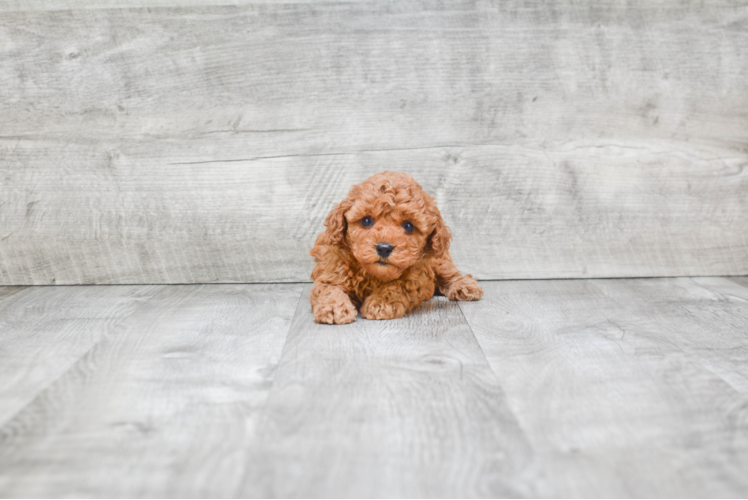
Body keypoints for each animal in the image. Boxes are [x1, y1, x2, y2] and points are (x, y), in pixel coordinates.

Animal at [306, 172, 482, 324]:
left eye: (409, 226)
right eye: (366, 221)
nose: (384, 248)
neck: (373, 274)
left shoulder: (417, 277)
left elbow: (396, 287)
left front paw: (380, 303)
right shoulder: (332, 272)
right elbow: (329, 290)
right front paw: (334, 308)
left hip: (440, 259)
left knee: (450, 273)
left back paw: (465, 286)